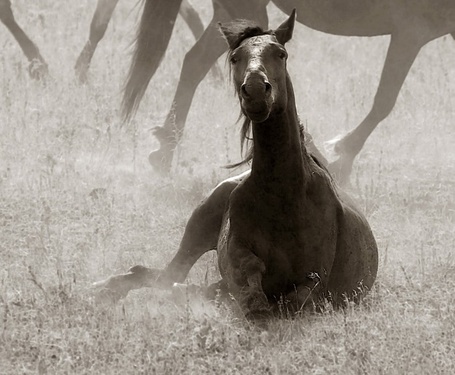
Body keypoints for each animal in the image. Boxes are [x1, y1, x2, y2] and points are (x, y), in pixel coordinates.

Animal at [94, 10, 380, 318]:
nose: (255, 91)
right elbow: (250, 285)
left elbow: (293, 298)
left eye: (281, 54)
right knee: (163, 276)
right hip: (198, 227)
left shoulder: (315, 278)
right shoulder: (238, 257)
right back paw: (108, 288)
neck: (285, 195)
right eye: (234, 57)